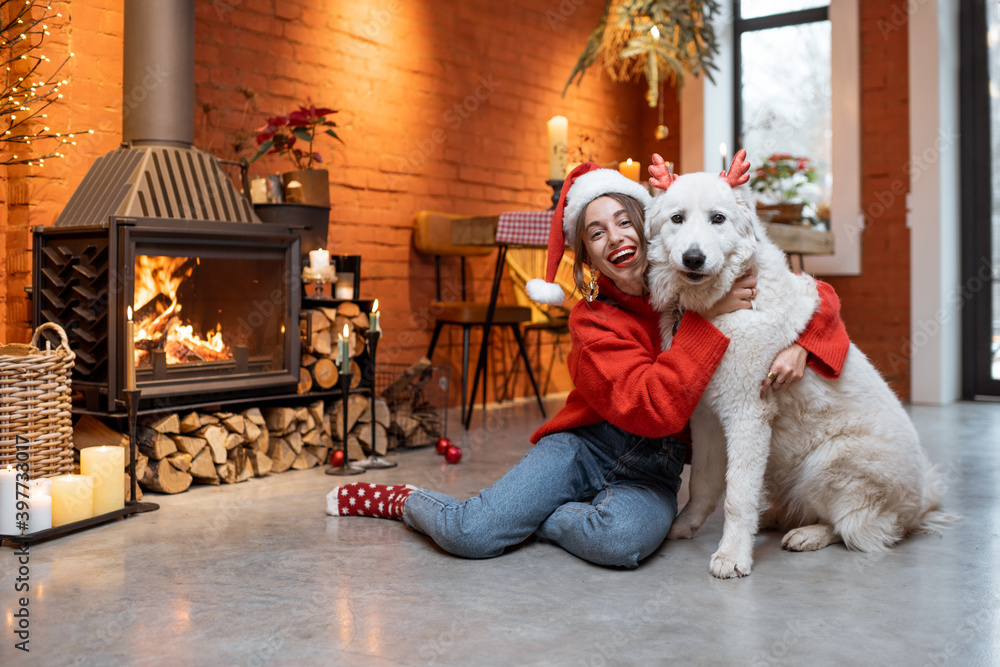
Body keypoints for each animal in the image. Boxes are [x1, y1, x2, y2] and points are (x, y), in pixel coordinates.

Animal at [644, 155, 948, 580]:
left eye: (717, 219)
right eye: (677, 218)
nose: (693, 258)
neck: (717, 307)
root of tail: (919, 507)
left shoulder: (748, 415)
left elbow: (737, 495)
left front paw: (733, 555)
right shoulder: (706, 419)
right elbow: (704, 485)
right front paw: (685, 526)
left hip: (829, 461)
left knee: (854, 528)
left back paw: (807, 534)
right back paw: (774, 518)